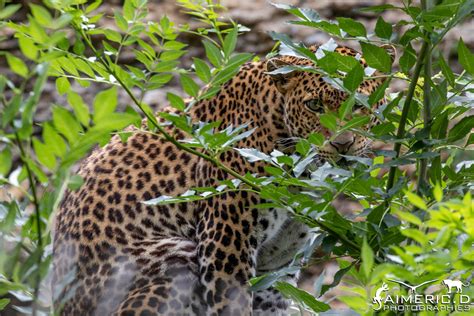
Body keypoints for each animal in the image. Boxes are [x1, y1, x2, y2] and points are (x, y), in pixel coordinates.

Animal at [53, 45, 390, 316]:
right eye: (314, 106)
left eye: (361, 103)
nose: (343, 144)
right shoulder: (226, 242)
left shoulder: (277, 264)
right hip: (175, 259)